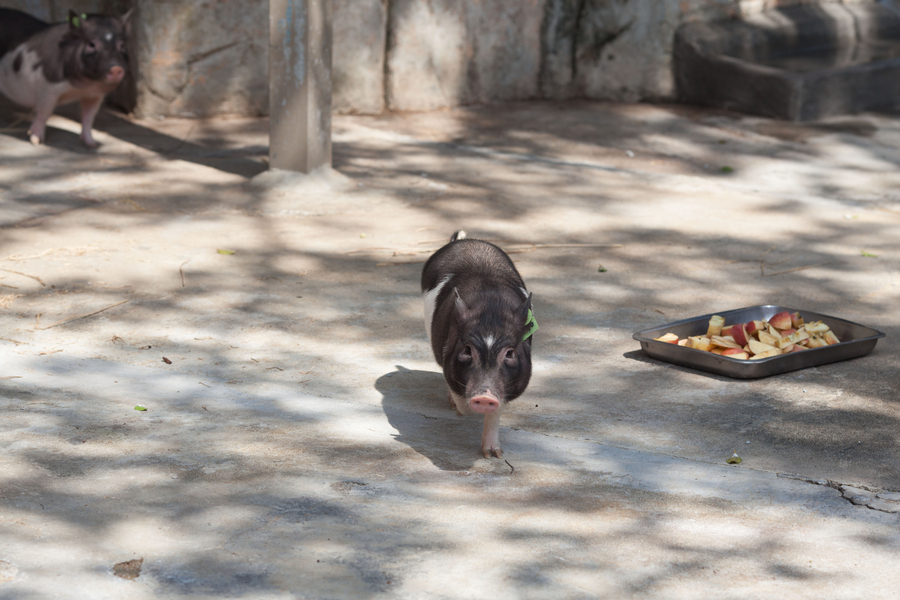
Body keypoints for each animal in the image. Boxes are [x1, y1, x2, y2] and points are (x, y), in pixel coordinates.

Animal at [0, 8, 130, 148]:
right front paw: (36, 141)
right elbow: (44, 113)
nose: (116, 68)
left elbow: (89, 118)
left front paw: (92, 144)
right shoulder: (48, 88)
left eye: (122, 45)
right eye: (91, 44)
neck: (81, 87)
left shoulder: (95, 95)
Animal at [420, 232, 536, 458]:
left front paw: (494, 455)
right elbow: (461, 402)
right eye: (467, 350)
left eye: (510, 353)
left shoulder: (511, 385)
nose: (484, 396)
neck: (490, 312)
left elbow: (496, 412)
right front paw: (458, 411)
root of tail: (465, 240)